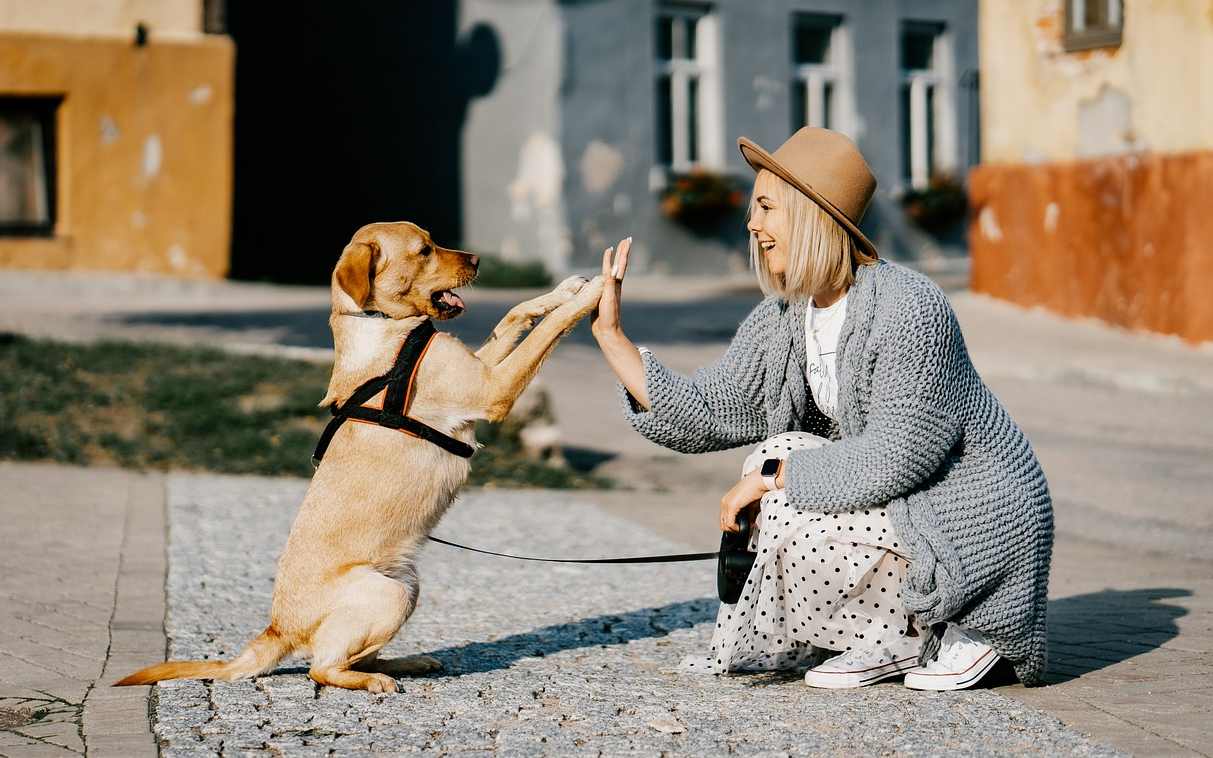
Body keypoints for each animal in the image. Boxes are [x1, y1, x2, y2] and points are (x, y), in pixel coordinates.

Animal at [118, 220, 601, 693]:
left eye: (432, 241)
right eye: (424, 250)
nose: (478, 259)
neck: (383, 326)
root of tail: (278, 628)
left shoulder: (481, 368)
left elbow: (516, 314)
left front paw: (564, 289)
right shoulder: (492, 389)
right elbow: (547, 331)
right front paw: (596, 292)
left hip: (407, 585)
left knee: (353, 655)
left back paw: (406, 663)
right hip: (388, 594)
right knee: (322, 668)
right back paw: (373, 680)